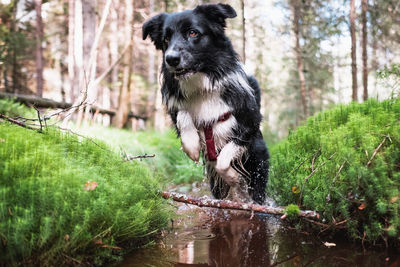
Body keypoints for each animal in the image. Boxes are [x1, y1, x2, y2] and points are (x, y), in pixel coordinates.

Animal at [144, 2, 268, 205]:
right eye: (166, 39)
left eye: (193, 33)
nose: (171, 59)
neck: (202, 87)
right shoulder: (176, 108)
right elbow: (183, 114)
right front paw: (192, 146)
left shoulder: (250, 123)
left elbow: (223, 161)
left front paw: (234, 177)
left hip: (257, 164)